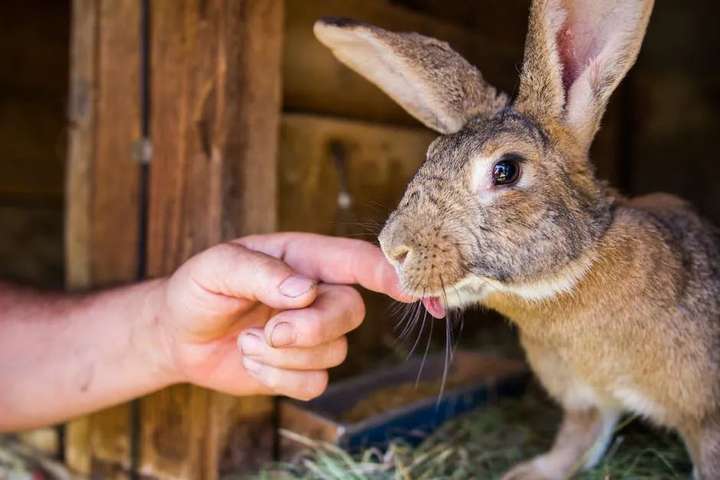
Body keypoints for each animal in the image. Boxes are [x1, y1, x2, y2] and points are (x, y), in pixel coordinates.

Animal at [316, 0, 720, 480]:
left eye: (506, 170)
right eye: (431, 156)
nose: (393, 248)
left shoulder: (707, 418)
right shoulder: (585, 400)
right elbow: (577, 437)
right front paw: (528, 472)